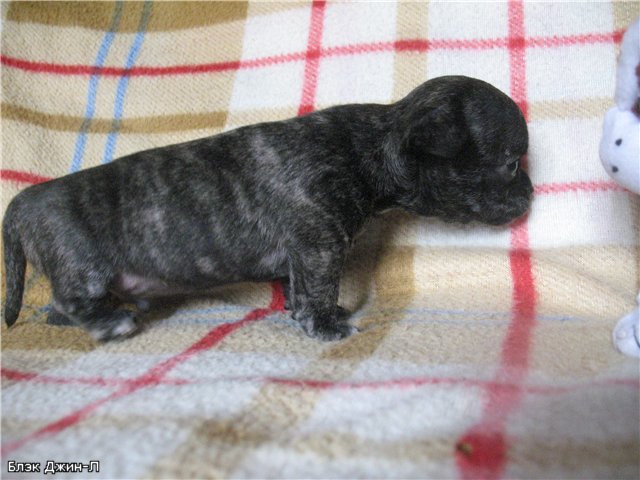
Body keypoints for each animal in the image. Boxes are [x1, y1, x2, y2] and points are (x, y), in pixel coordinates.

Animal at [3, 76, 532, 342]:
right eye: (511, 163)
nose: (531, 193)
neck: (372, 146)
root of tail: (24, 201)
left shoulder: (303, 253)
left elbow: (298, 288)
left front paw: (305, 314)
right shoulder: (319, 246)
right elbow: (318, 287)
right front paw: (327, 325)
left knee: (58, 306)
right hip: (82, 266)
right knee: (73, 299)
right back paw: (111, 322)